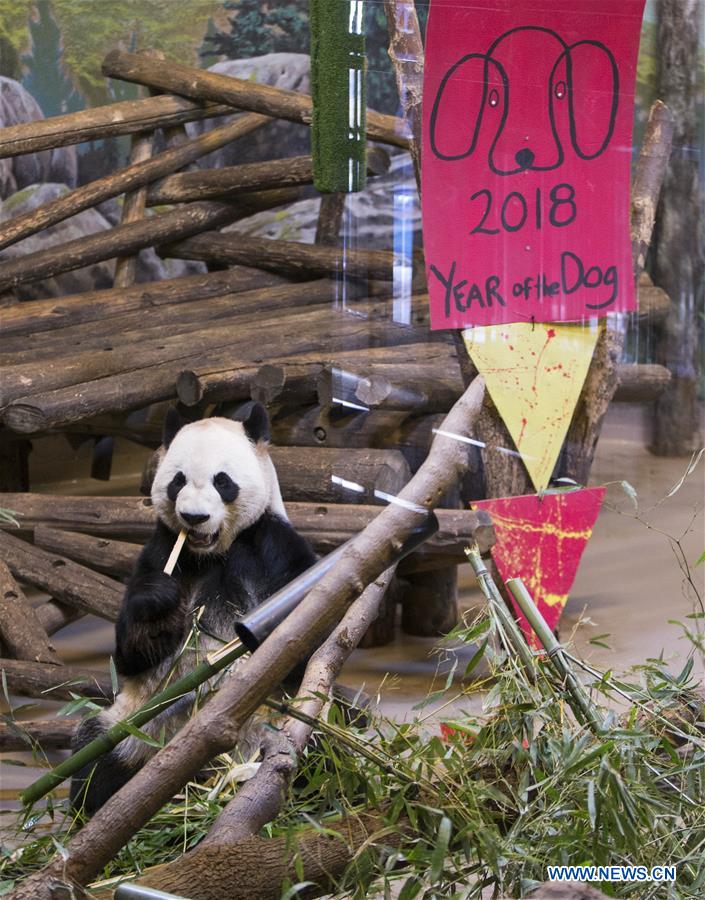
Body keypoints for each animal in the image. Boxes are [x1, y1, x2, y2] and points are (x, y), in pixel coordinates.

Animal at [69, 400, 316, 816]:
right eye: (177, 481)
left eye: (223, 481)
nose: (194, 517)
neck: (212, 552)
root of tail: (209, 773)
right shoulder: (162, 550)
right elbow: (132, 655)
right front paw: (157, 600)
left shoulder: (272, 546)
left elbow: (306, 644)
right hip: (133, 727)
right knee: (93, 758)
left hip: (275, 722)